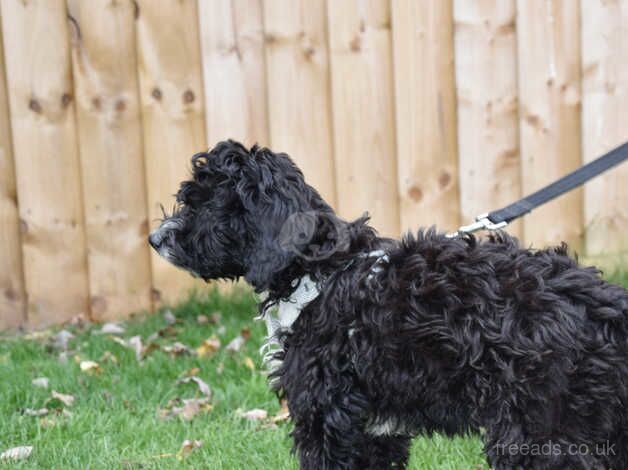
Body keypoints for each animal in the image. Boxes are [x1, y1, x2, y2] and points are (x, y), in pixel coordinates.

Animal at [148, 140, 628, 470]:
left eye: (204, 203)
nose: (155, 238)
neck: (321, 273)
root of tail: (603, 304)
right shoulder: (373, 431)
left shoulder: (326, 418)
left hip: (543, 431)